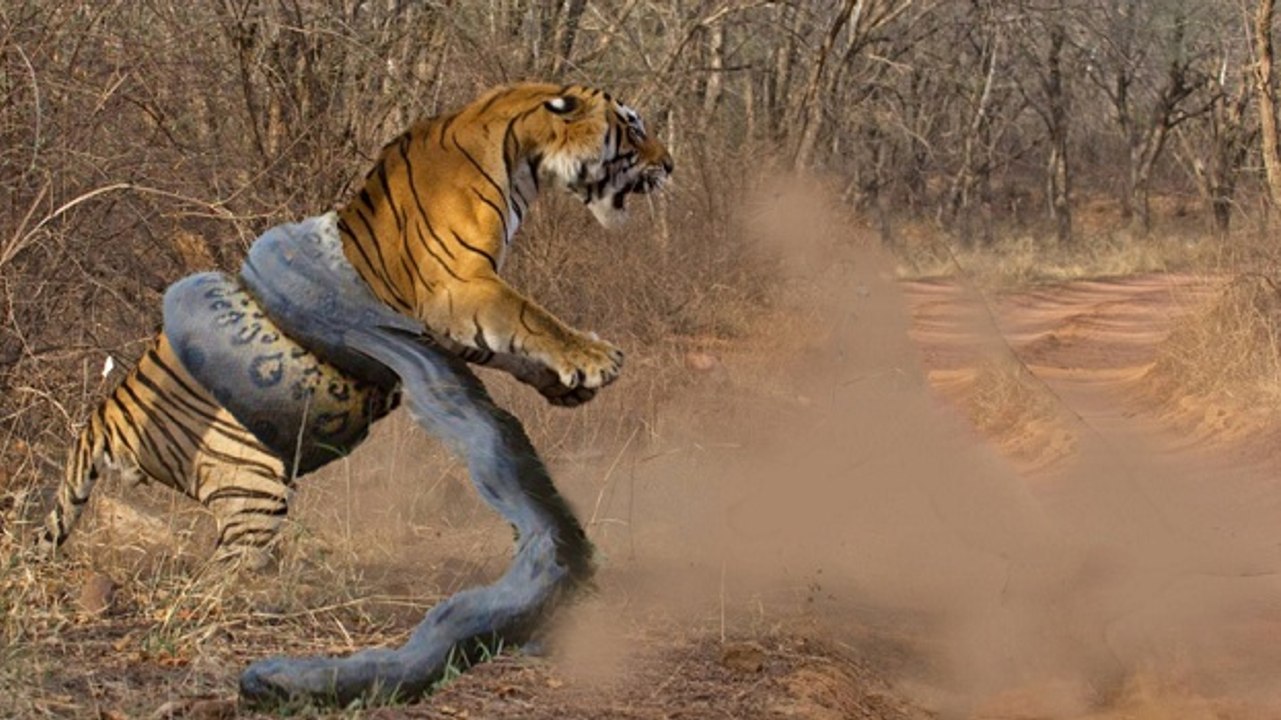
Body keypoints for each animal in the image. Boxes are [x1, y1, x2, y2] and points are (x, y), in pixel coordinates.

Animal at [38, 82, 674, 566]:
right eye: (632, 127)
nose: (670, 164)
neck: (518, 151)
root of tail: (105, 414)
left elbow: (513, 344)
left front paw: (568, 387)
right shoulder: (459, 289)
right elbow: (530, 318)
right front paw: (595, 359)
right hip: (252, 483)